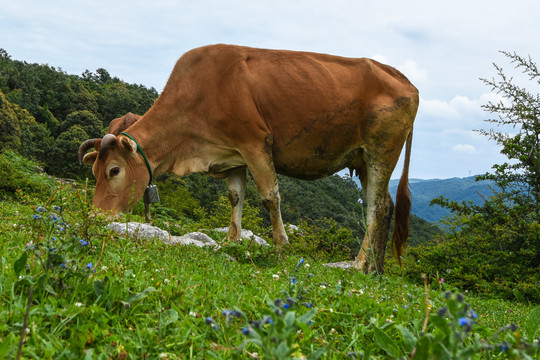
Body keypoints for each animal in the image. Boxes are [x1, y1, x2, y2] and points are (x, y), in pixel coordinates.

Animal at [78, 43, 420, 272]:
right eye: (93, 172)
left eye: (114, 171)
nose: (95, 216)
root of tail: (404, 79)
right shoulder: (232, 155)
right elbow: (235, 197)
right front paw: (232, 241)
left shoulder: (255, 142)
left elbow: (270, 197)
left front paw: (282, 248)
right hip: (363, 160)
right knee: (385, 207)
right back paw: (374, 269)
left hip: (381, 151)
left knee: (377, 207)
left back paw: (360, 264)